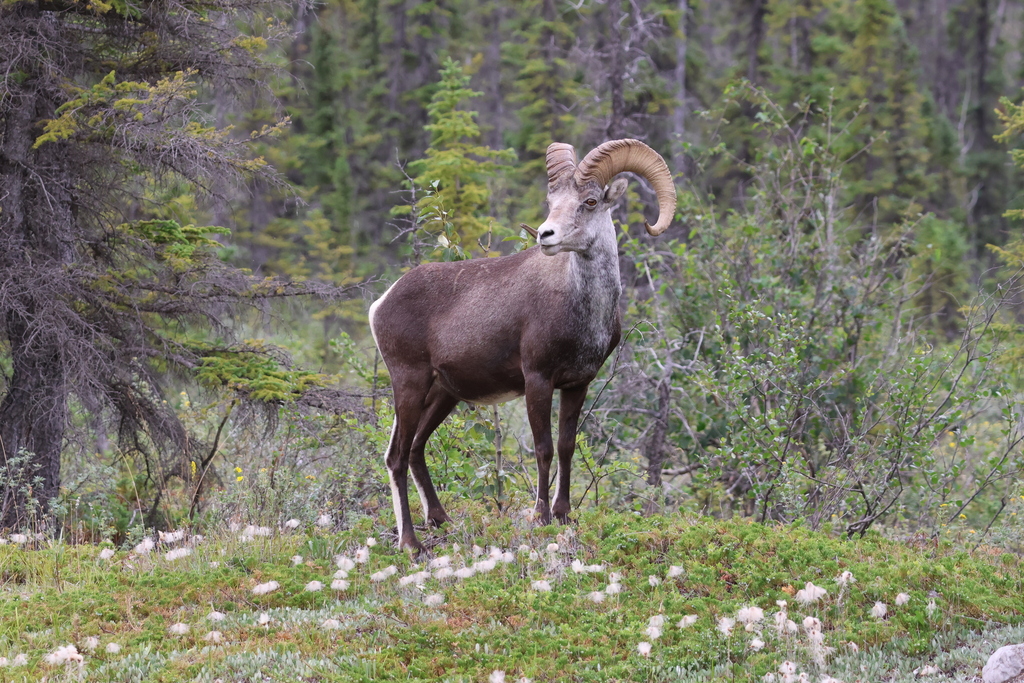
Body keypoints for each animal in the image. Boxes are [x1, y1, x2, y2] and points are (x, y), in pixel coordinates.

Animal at [369, 139, 676, 553]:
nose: (546, 235)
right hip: (409, 384)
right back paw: (411, 544)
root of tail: (381, 304)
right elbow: (543, 448)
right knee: (397, 457)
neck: (583, 309)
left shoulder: (577, 385)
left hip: (443, 394)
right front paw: (541, 517)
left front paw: (564, 515)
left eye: (590, 201)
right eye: (551, 200)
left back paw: (442, 521)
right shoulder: (537, 380)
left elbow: (565, 446)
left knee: (415, 450)